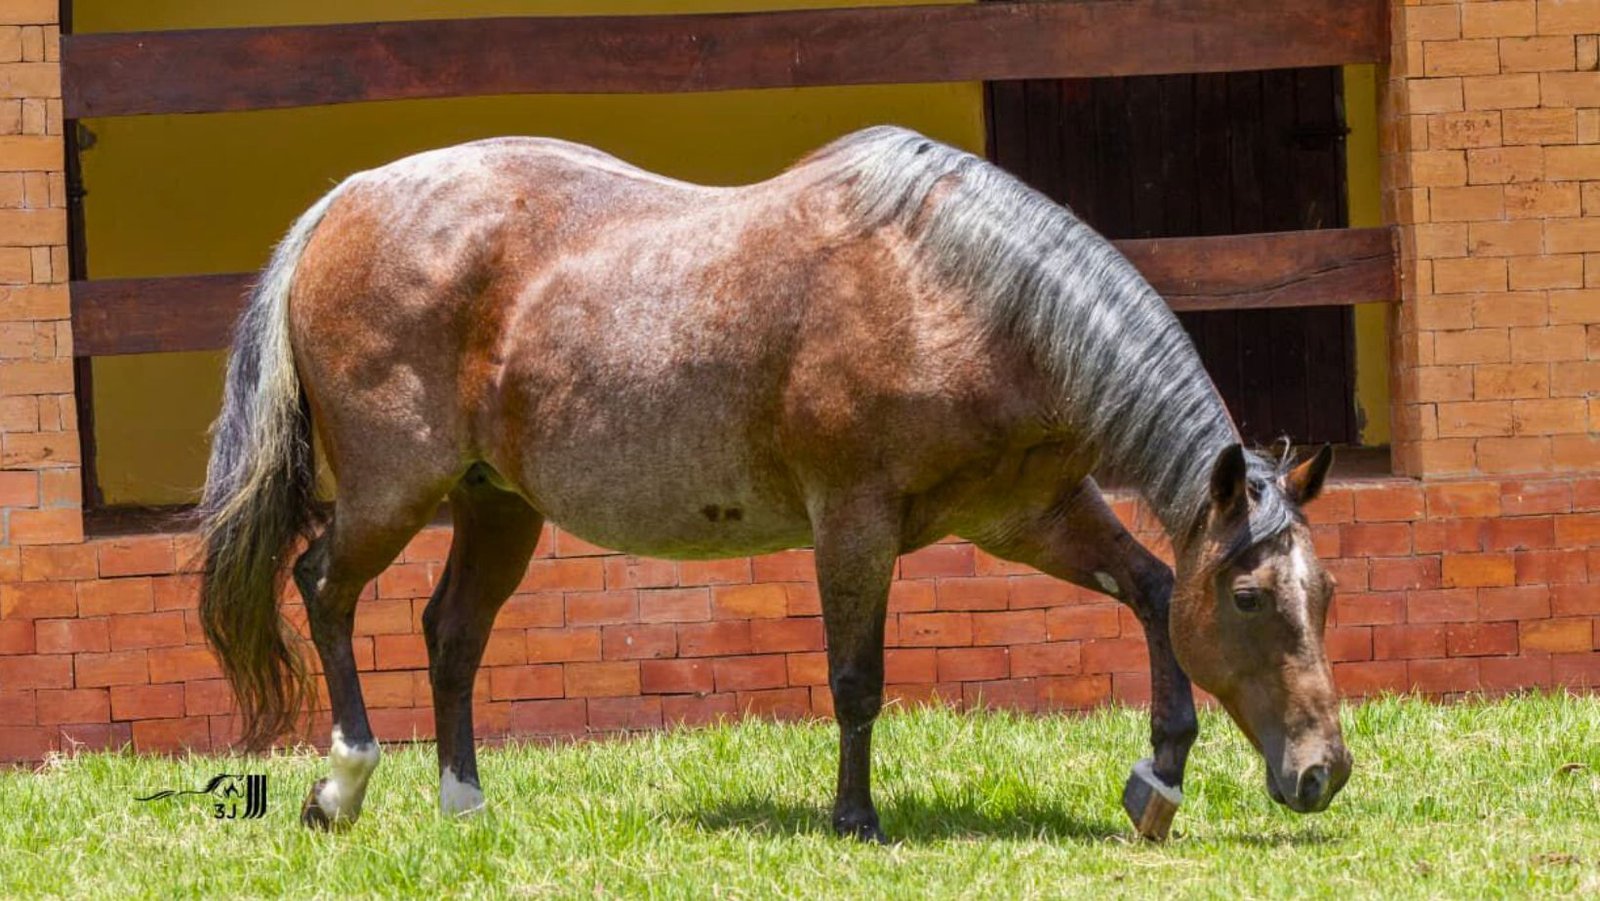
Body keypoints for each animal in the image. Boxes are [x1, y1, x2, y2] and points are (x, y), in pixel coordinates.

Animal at [198, 126, 1351, 840]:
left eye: (1324, 594)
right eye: (1252, 597)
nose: (1323, 770)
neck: (956, 291)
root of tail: (344, 204)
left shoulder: (1032, 513)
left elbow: (1152, 591)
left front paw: (1158, 776)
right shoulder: (854, 524)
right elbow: (855, 679)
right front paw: (855, 820)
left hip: (497, 506)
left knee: (450, 632)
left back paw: (464, 801)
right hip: (393, 495)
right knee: (322, 588)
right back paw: (342, 783)